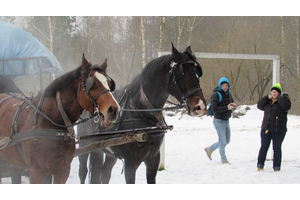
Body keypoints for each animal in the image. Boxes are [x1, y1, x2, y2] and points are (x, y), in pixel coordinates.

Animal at [0, 54, 119, 183]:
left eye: (109, 83)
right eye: (92, 84)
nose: (113, 110)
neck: (52, 122)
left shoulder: (63, 170)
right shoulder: (36, 172)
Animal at [77, 44, 206, 184]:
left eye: (197, 74)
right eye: (183, 74)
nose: (200, 106)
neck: (141, 112)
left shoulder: (153, 160)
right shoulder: (130, 163)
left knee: (104, 173)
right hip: (85, 146)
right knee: (84, 172)